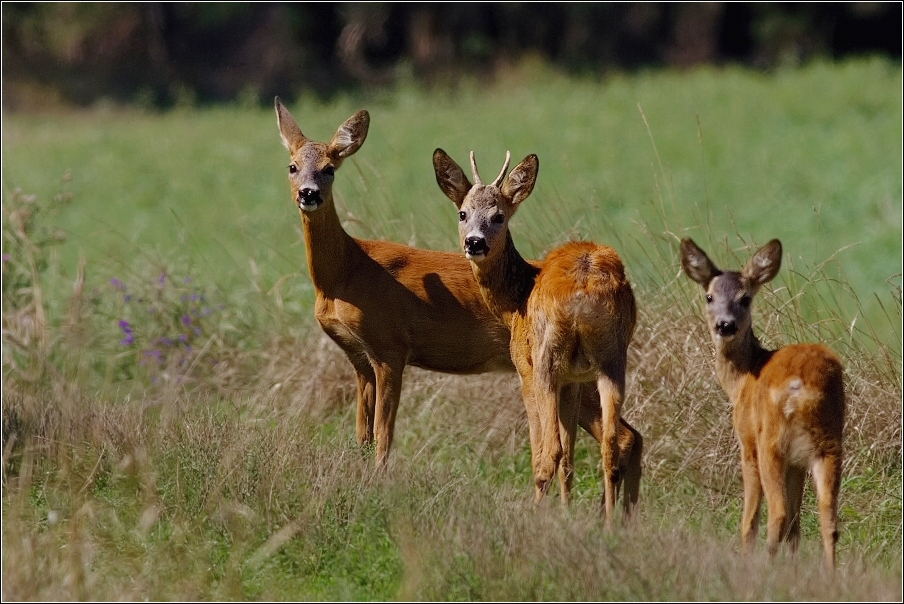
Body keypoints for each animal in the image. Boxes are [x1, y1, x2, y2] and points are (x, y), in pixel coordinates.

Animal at [276, 99, 644, 486]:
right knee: (629, 434)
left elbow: (383, 433)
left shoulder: (390, 347)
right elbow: (362, 432)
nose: (309, 193)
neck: (346, 274)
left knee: (620, 434)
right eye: (292, 166)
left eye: (329, 169)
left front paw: (378, 481)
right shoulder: (359, 357)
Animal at [434, 147, 640, 524]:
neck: (517, 298)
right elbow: (570, 458)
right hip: (612, 358)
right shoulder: (574, 379)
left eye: (499, 216)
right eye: (463, 213)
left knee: (550, 452)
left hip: (546, 359)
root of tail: (583, 290)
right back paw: (607, 522)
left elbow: (546, 449)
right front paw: (567, 511)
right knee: (610, 444)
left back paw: (534, 514)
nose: (474, 242)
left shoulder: (525, 369)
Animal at [680, 238, 844, 568]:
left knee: (778, 513)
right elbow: (796, 522)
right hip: (829, 444)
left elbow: (750, 519)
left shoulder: (746, 441)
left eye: (745, 299)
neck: (742, 380)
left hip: (772, 441)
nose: (725, 325)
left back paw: (765, 566)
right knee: (828, 519)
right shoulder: (797, 463)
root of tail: (805, 388)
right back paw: (830, 573)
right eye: (709, 296)